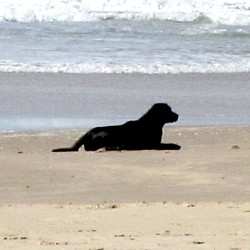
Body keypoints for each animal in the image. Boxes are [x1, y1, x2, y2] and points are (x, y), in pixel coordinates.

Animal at [52, 102, 180, 151]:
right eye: (169, 110)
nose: (178, 115)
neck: (152, 122)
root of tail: (88, 132)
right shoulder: (153, 144)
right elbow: (167, 144)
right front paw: (175, 145)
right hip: (105, 135)